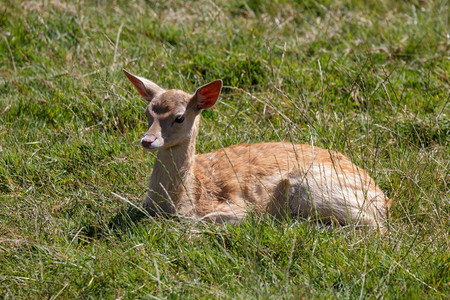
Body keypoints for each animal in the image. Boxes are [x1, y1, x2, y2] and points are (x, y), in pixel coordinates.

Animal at [122, 69, 390, 231]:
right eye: (148, 112)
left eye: (179, 117)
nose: (148, 140)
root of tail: (383, 200)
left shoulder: (234, 208)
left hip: (311, 187)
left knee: (374, 228)